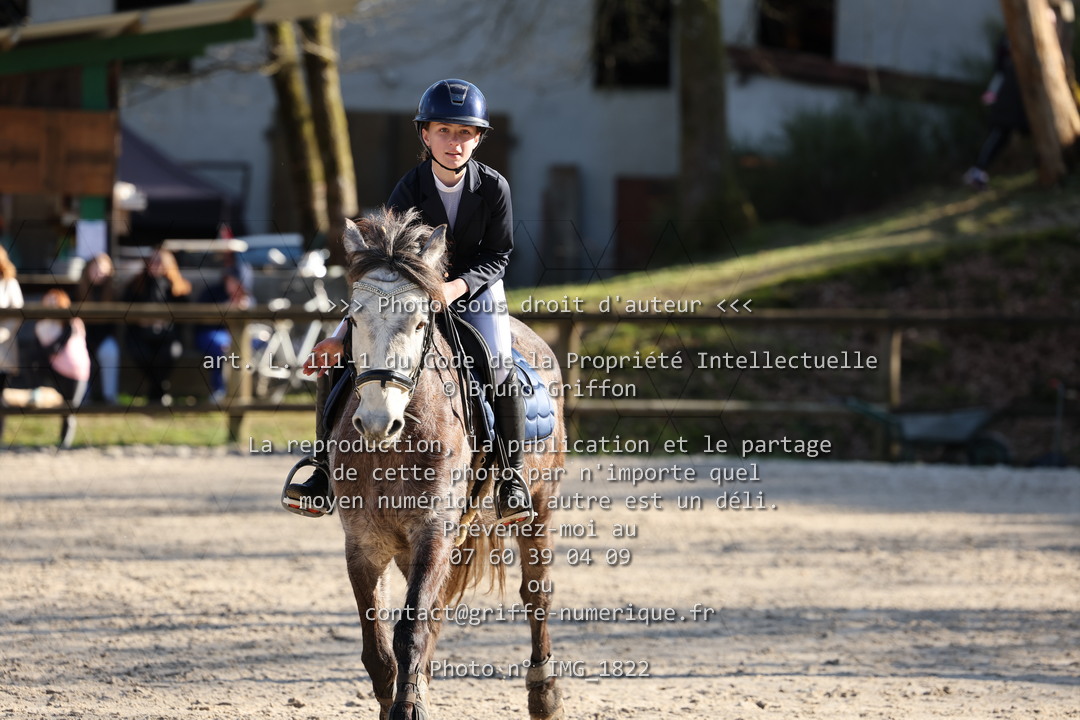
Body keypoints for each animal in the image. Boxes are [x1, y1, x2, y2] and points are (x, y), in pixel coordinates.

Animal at [329, 208, 566, 720]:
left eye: (421, 322)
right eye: (354, 318)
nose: (377, 421)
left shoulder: (433, 530)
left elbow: (410, 630)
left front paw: (408, 708)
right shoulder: (364, 542)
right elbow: (378, 649)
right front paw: (404, 698)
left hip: (539, 505)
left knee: (536, 593)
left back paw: (545, 694)